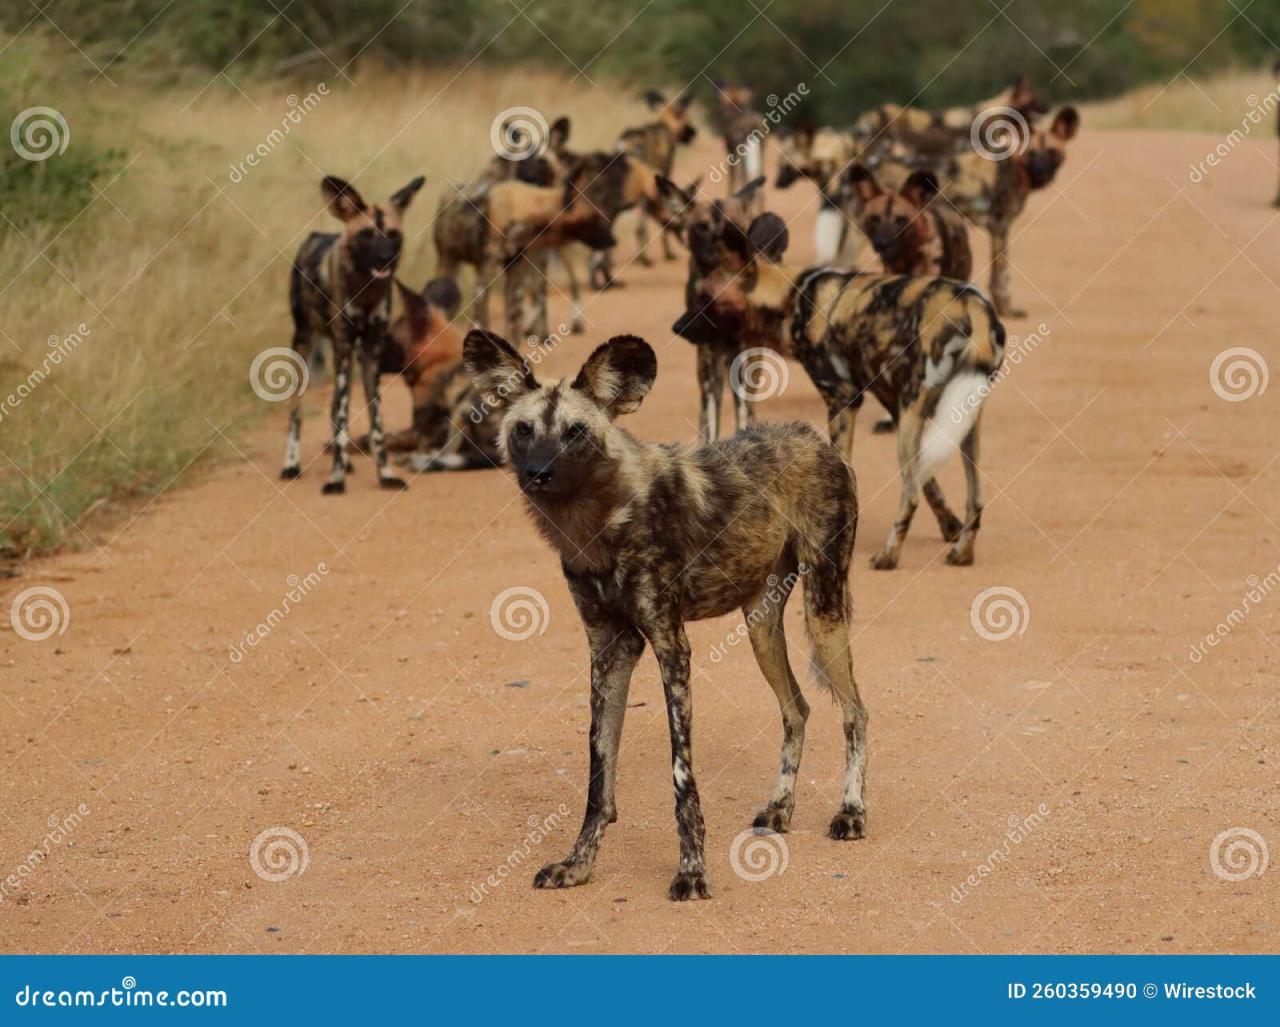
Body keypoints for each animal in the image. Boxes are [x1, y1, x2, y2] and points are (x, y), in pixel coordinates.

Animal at [280, 172, 424, 491]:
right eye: (366, 234)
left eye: (393, 234)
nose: (385, 258)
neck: (366, 292)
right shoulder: (343, 346)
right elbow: (344, 416)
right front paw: (335, 480)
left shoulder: (370, 352)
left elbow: (376, 422)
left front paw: (385, 475)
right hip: (305, 346)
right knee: (296, 412)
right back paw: (291, 464)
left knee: (335, 406)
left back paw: (344, 462)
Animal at [465, 327, 875, 896]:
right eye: (524, 430)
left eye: (575, 432)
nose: (539, 473)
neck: (597, 524)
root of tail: (814, 435)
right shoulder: (610, 650)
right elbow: (598, 777)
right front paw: (579, 864)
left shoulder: (670, 647)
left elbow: (682, 777)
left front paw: (692, 871)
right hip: (761, 627)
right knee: (797, 708)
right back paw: (780, 807)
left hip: (824, 609)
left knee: (855, 711)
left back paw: (851, 811)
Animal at [675, 208, 1003, 568]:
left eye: (705, 300)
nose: (677, 327)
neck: (790, 301)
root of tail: (973, 305)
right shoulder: (893, 405)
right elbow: (929, 481)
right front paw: (949, 527)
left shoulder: (843, 401)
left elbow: (851, 469)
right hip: (960, 418)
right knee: (975, 496)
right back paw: (963, 552)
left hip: (913, 420)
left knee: (910, 496)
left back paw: (889, 555)